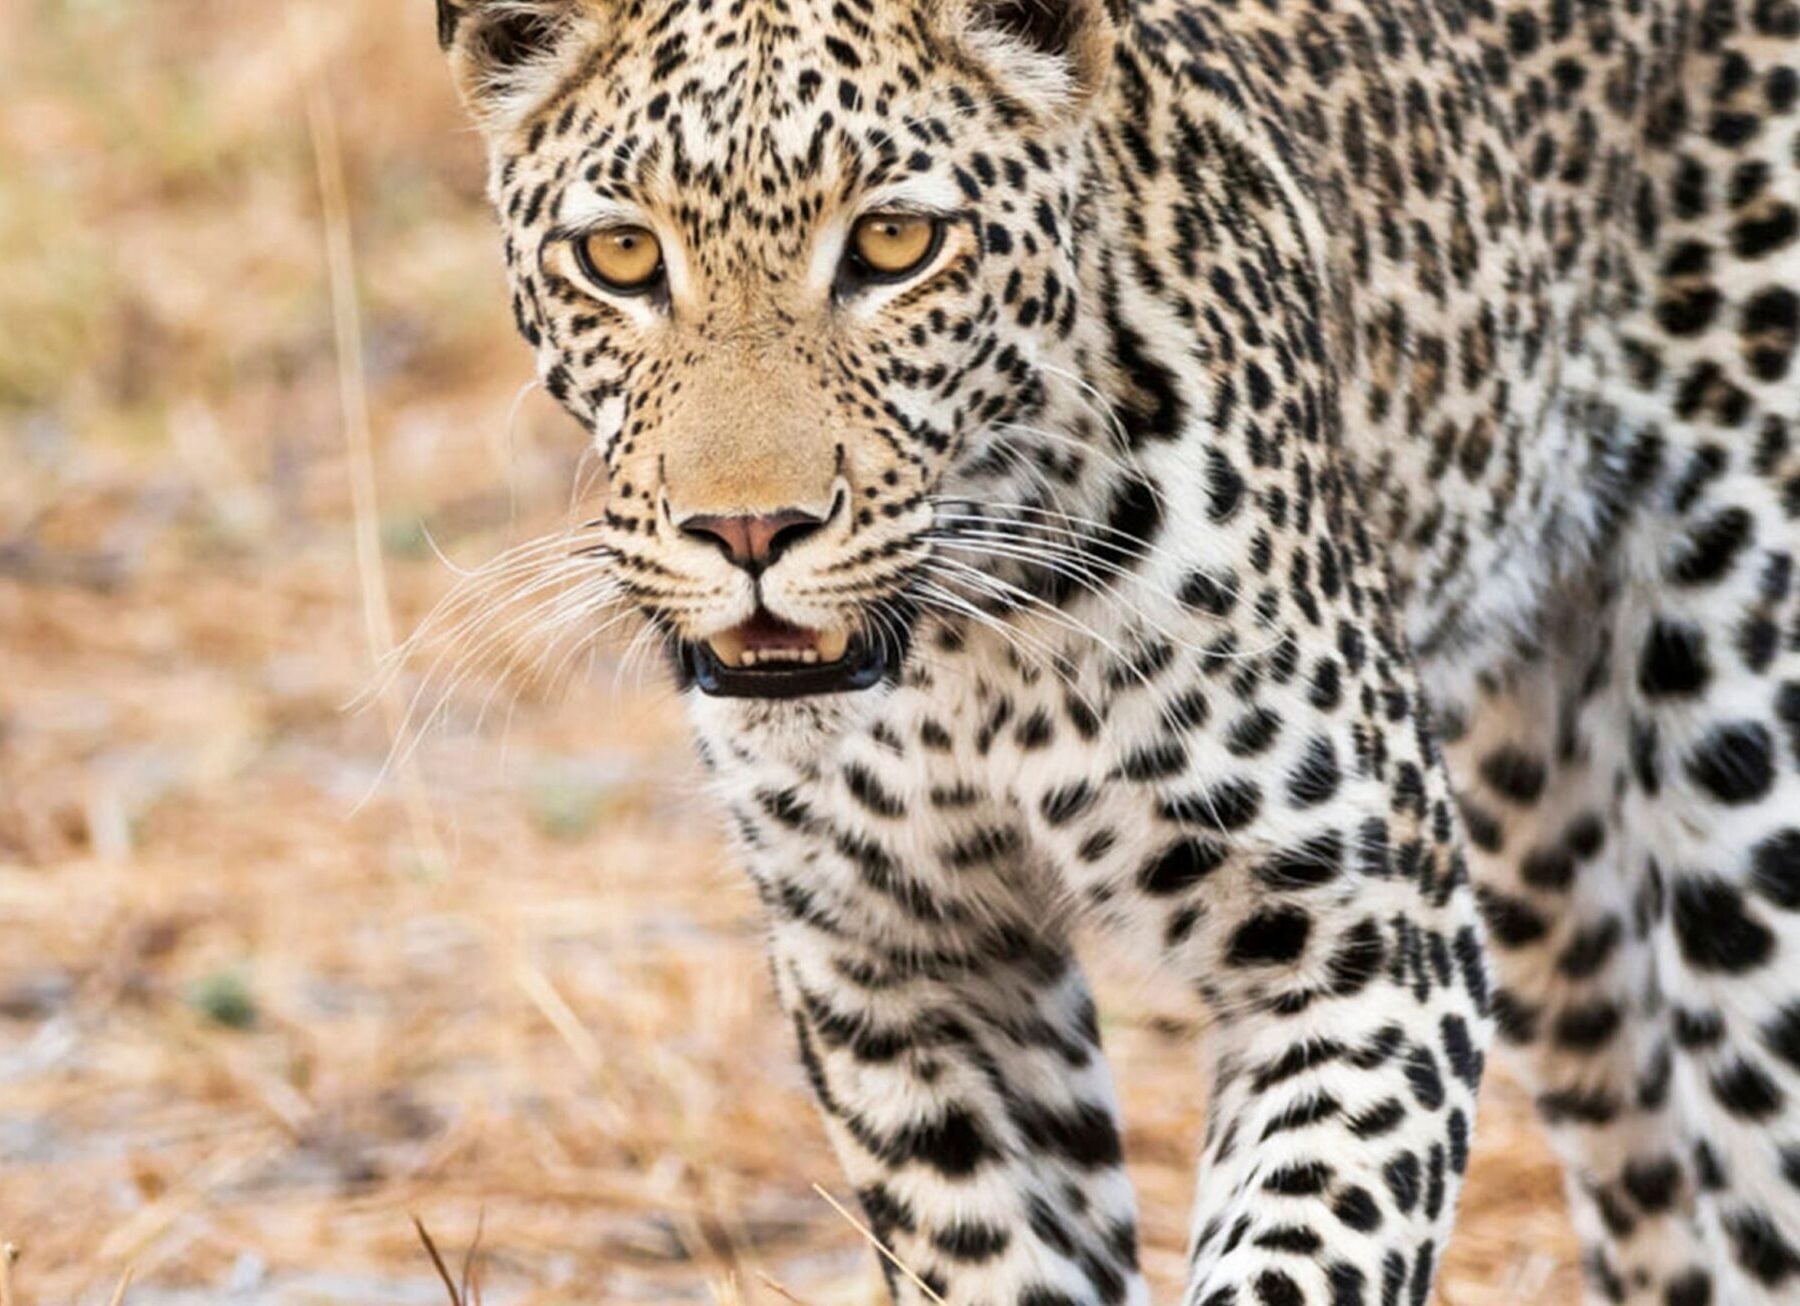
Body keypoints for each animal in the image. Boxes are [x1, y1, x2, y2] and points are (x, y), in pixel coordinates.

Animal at [430, 0, 1800, 1299]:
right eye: (619, 255)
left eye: (894, 245)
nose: (750, 530)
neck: (967, 649)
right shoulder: (905, 964)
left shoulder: (1365, 939)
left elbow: (1305, 1250)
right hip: (1542, 831)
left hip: (1739, 769)